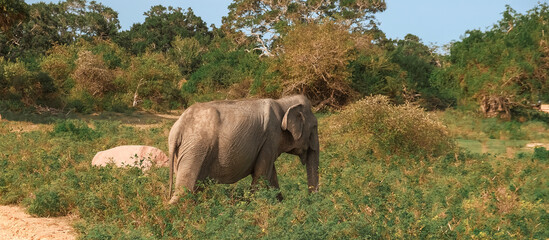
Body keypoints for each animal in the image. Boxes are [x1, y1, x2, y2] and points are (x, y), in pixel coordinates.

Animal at [169, 94, 318, 203]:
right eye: (314, 127)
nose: (310, 200)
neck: (283, 102)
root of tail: (179, 126)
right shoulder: (271, 138)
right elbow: (261, 173)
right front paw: (253, 205)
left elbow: (271, 175)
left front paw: (279, 203)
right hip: (196, 148)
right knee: (185, 190)